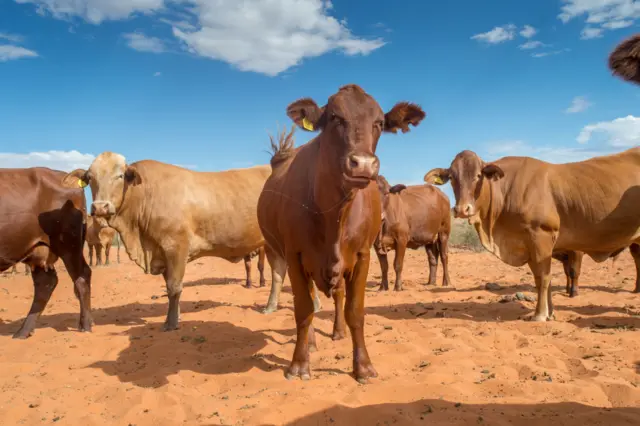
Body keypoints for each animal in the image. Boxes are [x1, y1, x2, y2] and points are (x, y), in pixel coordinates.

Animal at [0, 168, 92, 338]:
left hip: (69, 247)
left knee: (82, 277)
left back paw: (85, 325)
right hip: (39, 251)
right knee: (45, 283)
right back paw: (23, 331)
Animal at [60, 155, 270, 332]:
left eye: (120, 176)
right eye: (90, 177)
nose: (100, 207)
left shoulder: (175, 248)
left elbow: (174, 287)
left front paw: (171, 323)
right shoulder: (161, 252)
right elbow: (170, 287)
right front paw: (176, 316)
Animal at [255, 84, 424, 382]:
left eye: (379, 123)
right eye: (334, 117)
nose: (364, 164)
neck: (334, 214)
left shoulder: (362, 256)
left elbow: (354, 311)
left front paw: (363, 366)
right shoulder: (295, 255)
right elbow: (303, 309)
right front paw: (299, 364)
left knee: (337, 296)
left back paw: (338, 331)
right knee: (311, 301)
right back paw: (310, 342)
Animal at [424, 148, 640, 322]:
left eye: (478, 175)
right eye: (452, 177)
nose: (462, 209)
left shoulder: (541, 236)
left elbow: (544, 277)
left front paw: (540, 314)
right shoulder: (527, 243)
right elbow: (541, 278)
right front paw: (550, 312)